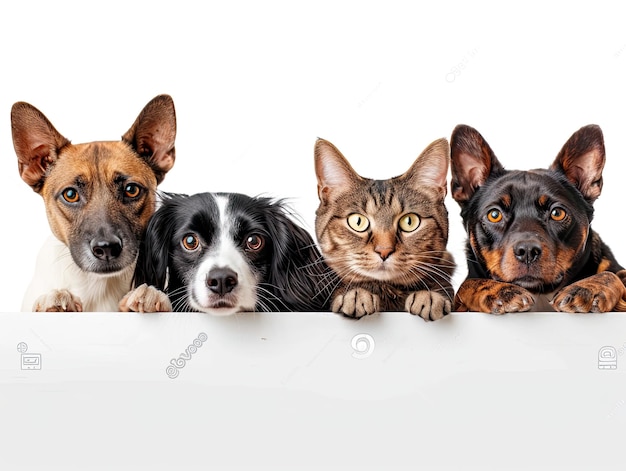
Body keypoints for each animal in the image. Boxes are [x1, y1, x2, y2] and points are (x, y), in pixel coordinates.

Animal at [12, 94, 178, 312]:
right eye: (70, 194)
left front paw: (149, 297)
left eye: (131, 190)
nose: (107, 249)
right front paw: (55, 300)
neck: (99, 286)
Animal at [448, 124, 624, 314]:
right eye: (494, 215)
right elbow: (467, 284)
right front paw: (499, 291)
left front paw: (587, 288)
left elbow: (611, 274)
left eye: (557, 213)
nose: (527, 251)